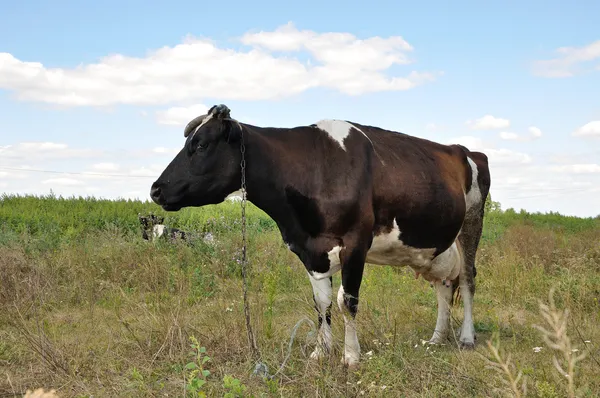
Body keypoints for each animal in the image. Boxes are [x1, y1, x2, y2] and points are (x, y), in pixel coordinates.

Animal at [149, 104, 492, 368]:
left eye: (201, 145)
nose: (155, 190)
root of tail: (464, 150)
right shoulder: (308, 249)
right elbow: (321, 302)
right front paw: (320, 352)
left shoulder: (356, 242)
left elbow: (347, 301)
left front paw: (351, 356)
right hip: (438, 246)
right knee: (443, 285)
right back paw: (436, 338)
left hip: (472, 222)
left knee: (468, 279)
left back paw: (466, 337)